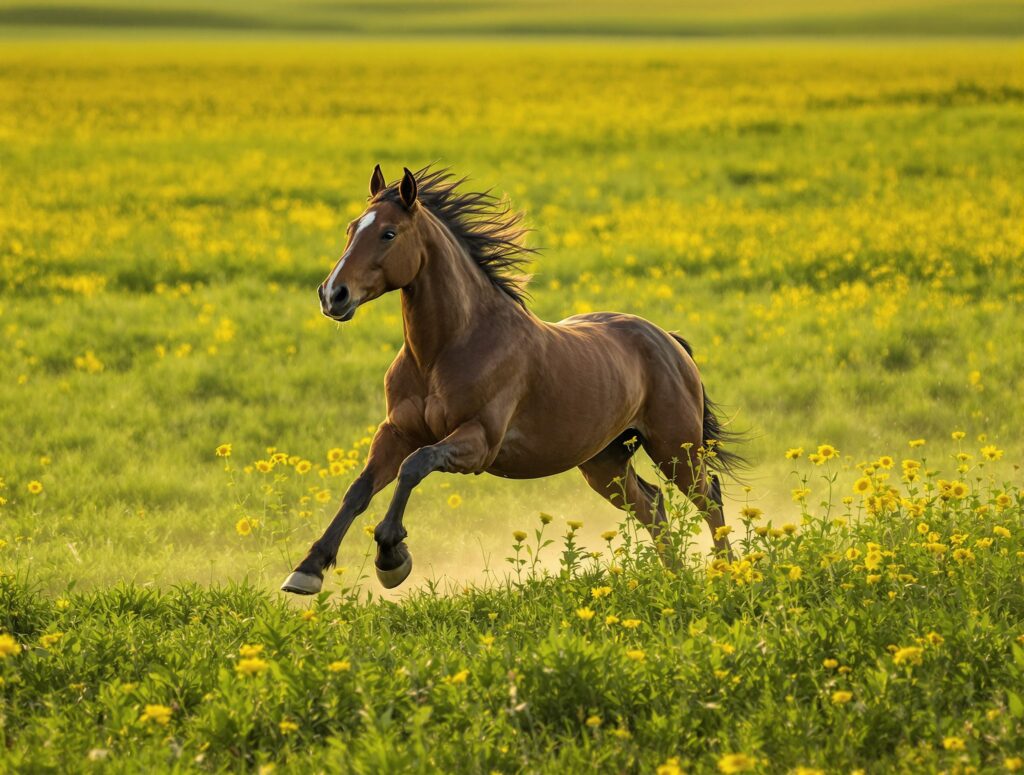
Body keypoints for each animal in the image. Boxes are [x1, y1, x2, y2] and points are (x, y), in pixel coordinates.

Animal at [281, 165, 743, 594]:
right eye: (350, 229)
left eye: (388, 233)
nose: (333, 295)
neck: (444, 351)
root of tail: (669, 341)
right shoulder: (396, 432)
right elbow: (359, 489)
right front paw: (307, 571)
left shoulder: (480, 442)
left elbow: (416, 466)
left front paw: (392, 557)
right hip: (604, 462)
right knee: (652, 504)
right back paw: (676, 578)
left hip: (675, 448)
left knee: (709, 497)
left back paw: (728, 573)